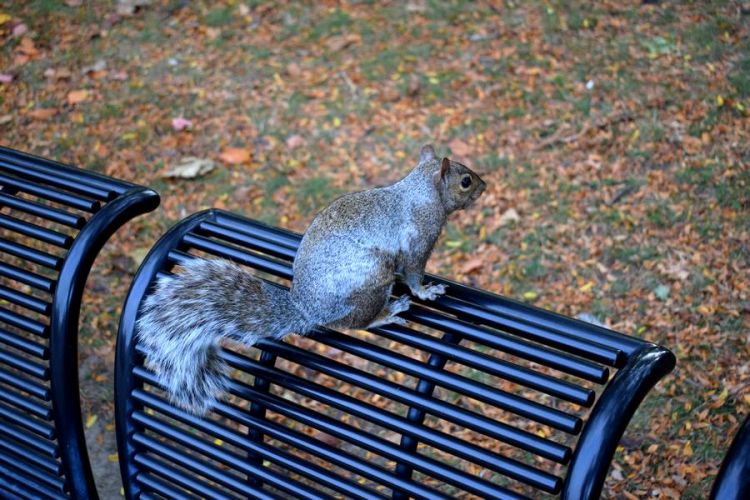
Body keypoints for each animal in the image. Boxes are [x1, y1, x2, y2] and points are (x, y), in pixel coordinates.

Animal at [137, 145, 488, 414]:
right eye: (465, 181)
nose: (485, 186)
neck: (420, 193)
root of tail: (307, 309)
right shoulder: (417, 242)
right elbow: (414, 274)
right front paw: (427, 292)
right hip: (372, 279)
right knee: (356, 323)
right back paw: (388, 313)